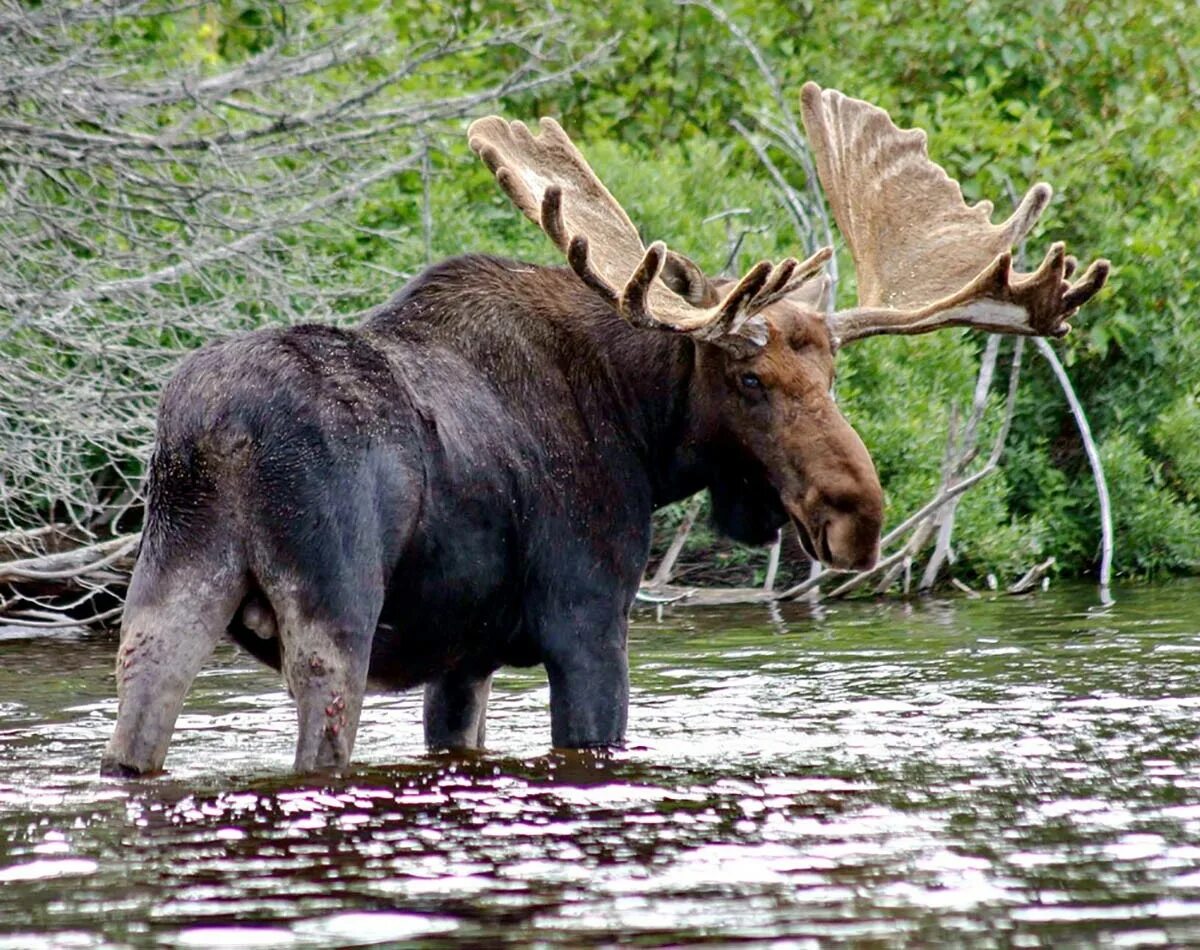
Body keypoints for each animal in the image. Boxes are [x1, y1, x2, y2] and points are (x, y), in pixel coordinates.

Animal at [100, 83, 1104, 777]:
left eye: (831, 374)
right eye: (749, 378)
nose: (857, 512)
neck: (646, 438)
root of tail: (216, 432)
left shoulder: (464, 658)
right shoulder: (588, 618)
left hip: (164, 588)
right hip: (335, 607)